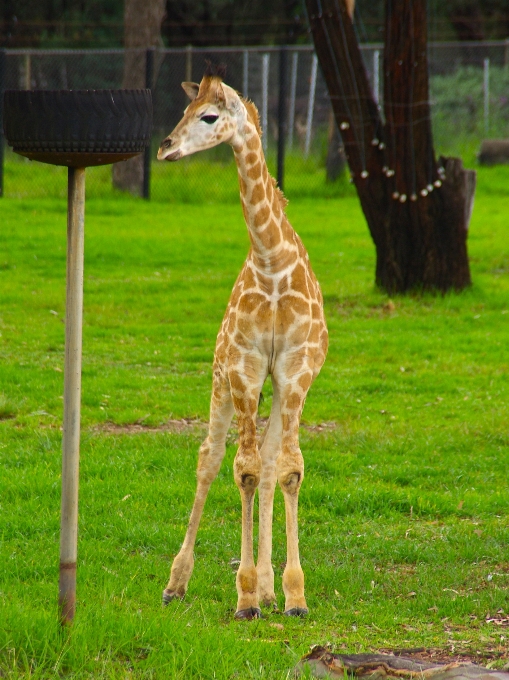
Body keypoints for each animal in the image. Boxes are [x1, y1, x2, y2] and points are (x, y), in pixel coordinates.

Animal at [157, 65, 328, 620]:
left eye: (210, 116)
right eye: (184, 111)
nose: (165, 148)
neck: (271, 260)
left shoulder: (295, 369)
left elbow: (285, 470)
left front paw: (292, 594)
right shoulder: (244, 367)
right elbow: (243, 472)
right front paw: (246, 594)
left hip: (272, 386)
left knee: (269, 463)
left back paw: (274, 589)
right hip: (222, 378)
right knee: (210, 460)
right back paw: (177, 582)